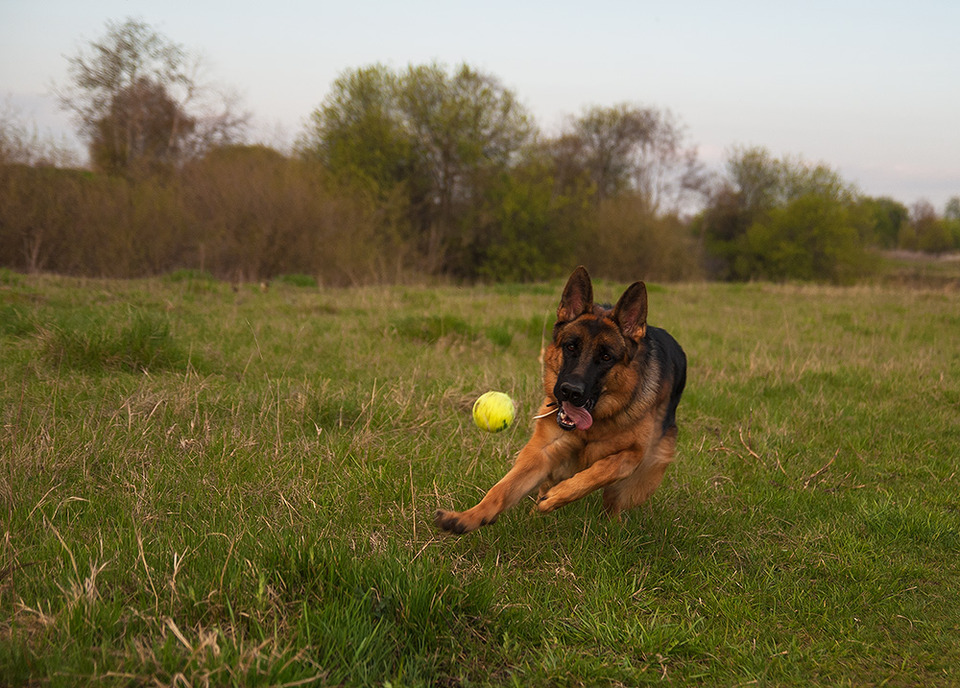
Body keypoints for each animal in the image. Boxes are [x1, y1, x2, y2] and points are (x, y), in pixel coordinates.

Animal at [436, 266, 688, 536]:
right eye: (570, 347)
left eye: (606, 357)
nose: (570, 391)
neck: (595, 425)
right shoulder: (542, 453)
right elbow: (502, 489)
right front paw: (467, 517)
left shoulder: (635, 455)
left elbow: (605, 468)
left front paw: (559, 496)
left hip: (644, 476)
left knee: (613, 502)